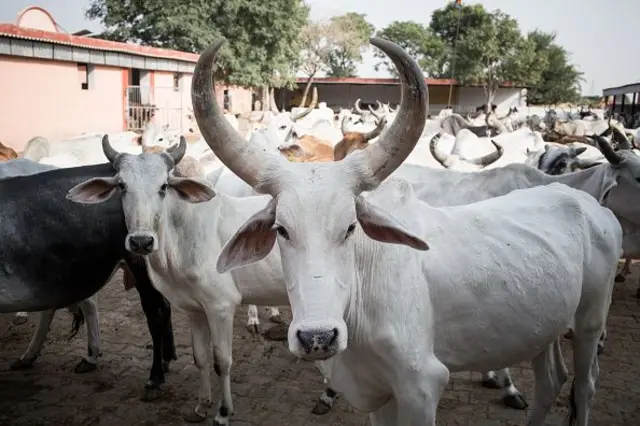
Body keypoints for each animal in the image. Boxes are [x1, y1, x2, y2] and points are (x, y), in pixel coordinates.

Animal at [186, 37, 621, 426]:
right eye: (281, 230)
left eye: (350, 227)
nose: (317, 338)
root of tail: (586, 203)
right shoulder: (378, 395)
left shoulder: (421, 387)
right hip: (543, 329)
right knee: (551, 382)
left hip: (589, 322)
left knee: (584, 386)